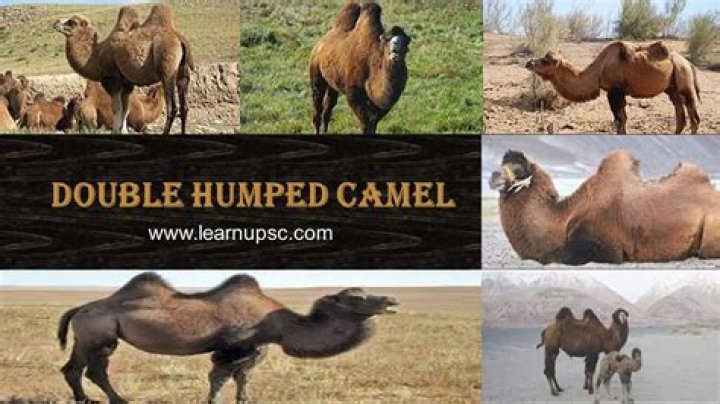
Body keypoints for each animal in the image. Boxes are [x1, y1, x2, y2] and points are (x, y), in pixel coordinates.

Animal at [54, 4, 193, 135]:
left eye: (72, 22)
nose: (56, 22)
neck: (95, 56)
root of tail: (180, 39)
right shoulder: (127, 83)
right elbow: (125, 108)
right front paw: (124, 131)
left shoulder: (112, 78)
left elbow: (117, 108)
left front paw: (116, 130)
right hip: (183, 69)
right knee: (184, 105)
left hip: (167, 66)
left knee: (172, 107)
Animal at [57, 272, 398, 403]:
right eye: (356, 297)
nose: (391, 300)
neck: (280, 323)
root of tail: (79, 308)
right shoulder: (232, 345)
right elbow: (219, 375)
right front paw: (212, 400)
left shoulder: (255, 346)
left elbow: (242, 376)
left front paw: (245, 399)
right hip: (101, 335)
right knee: (96, 369)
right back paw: (119, 399)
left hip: (84, 336)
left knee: (72, 368)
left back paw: (84, 399)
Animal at [309, 1, 411, 134]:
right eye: (387, 39)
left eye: (406, 41)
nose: (395, 46)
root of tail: (320, 44)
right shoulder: (353, 93)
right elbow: (365, 124)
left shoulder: (380, 105)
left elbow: (373, 124)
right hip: (315, 70)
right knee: (317, 104)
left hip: (333, 81)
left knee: (328, 107)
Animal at [489, 149, 720, 265]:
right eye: (502, 163)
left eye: (519, 169)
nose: (493, 176)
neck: (560, 220)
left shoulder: (606, 247)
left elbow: (556, 257)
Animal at [525, 41, 701, 134]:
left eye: (546, 60)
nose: (529, 62)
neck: (599, 69)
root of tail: (688, 63)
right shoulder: (619, 93)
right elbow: (622, 119)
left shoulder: (614, 91)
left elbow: (619, 120)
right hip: (672, 87)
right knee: (680, 112)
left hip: (684, 79)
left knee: (693, 116)